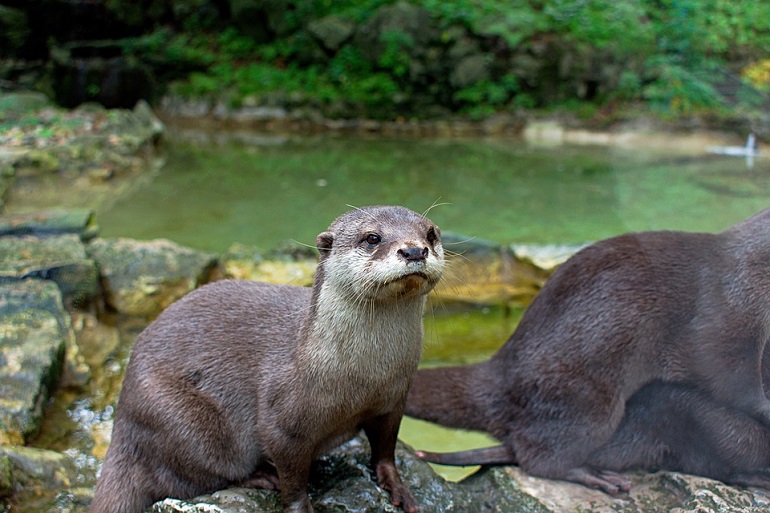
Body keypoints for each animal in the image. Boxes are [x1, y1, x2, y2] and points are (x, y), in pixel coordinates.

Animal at [90, 205, 444, 512]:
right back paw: (259, 477)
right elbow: (292, 477)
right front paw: (299, 506)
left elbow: (386, 449)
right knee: (189, 477)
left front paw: (398, 487)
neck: (363, 378)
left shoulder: (394, 399)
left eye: (430, 234)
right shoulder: (282, 423)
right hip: (176, 418)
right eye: (372, 238)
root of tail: (122, 419)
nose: (414, 251)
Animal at [402, 206, 768, 494]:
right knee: (537, 456)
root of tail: (502, 371)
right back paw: (593, 476)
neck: (751, 270)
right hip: (588, 398)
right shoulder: (726, 313)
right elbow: (728, 374)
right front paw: (766, 407)